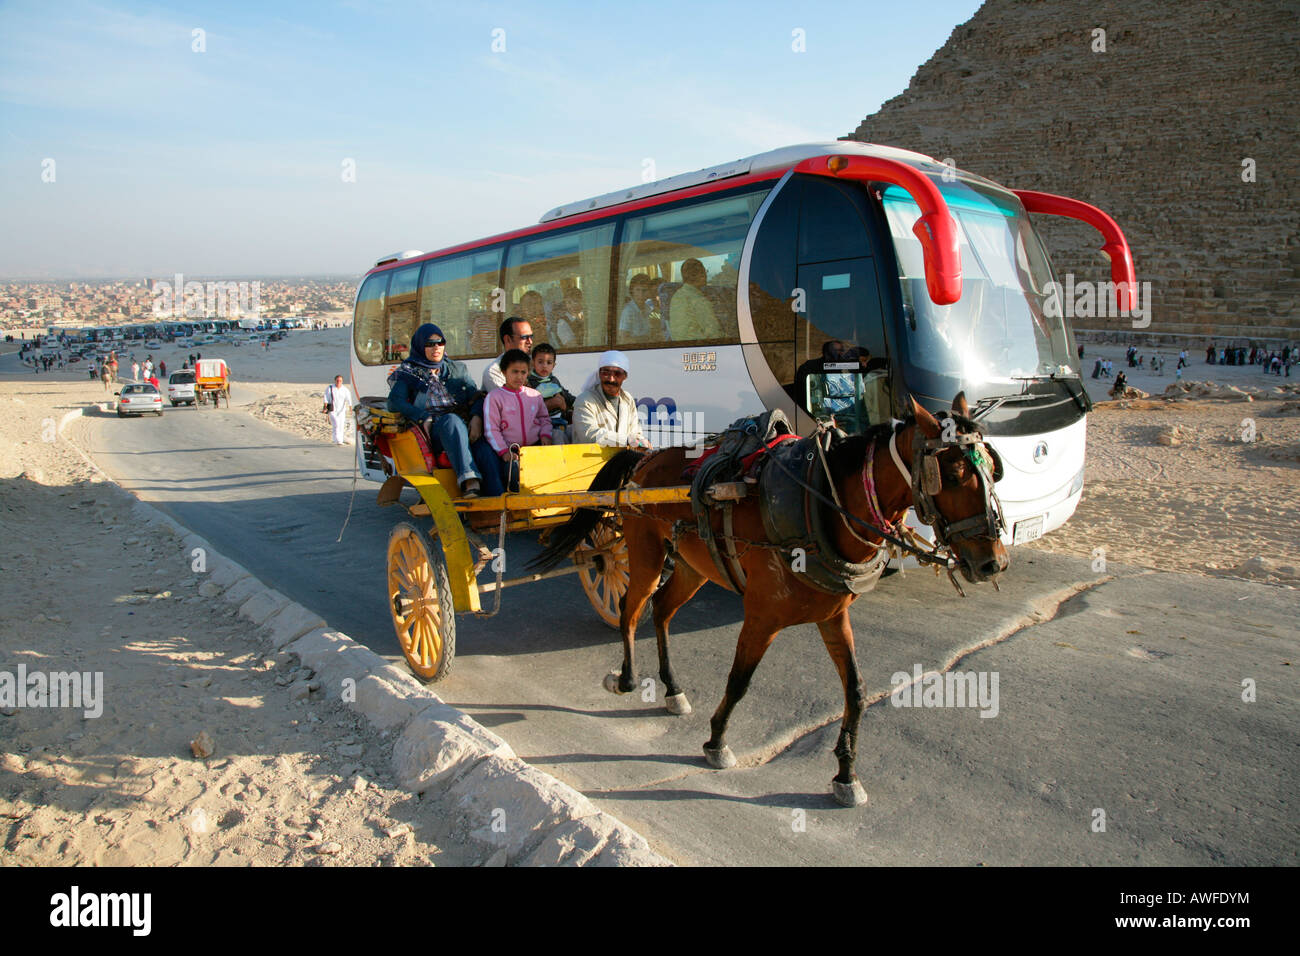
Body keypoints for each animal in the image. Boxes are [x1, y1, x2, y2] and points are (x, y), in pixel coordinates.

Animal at [527, 392, 1003, 806]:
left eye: (993, 470)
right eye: (953, 474)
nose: (993, 562)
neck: (821, 500)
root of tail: (644, 458)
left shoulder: (833, 616)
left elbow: (856, 691)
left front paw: (846, 774)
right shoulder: (761, 615)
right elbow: (739, 681)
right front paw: (717, 741)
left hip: (693, 565)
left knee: (661, 610)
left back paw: (673, 688)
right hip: (643, 552)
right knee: (630, 609)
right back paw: (626, 678)